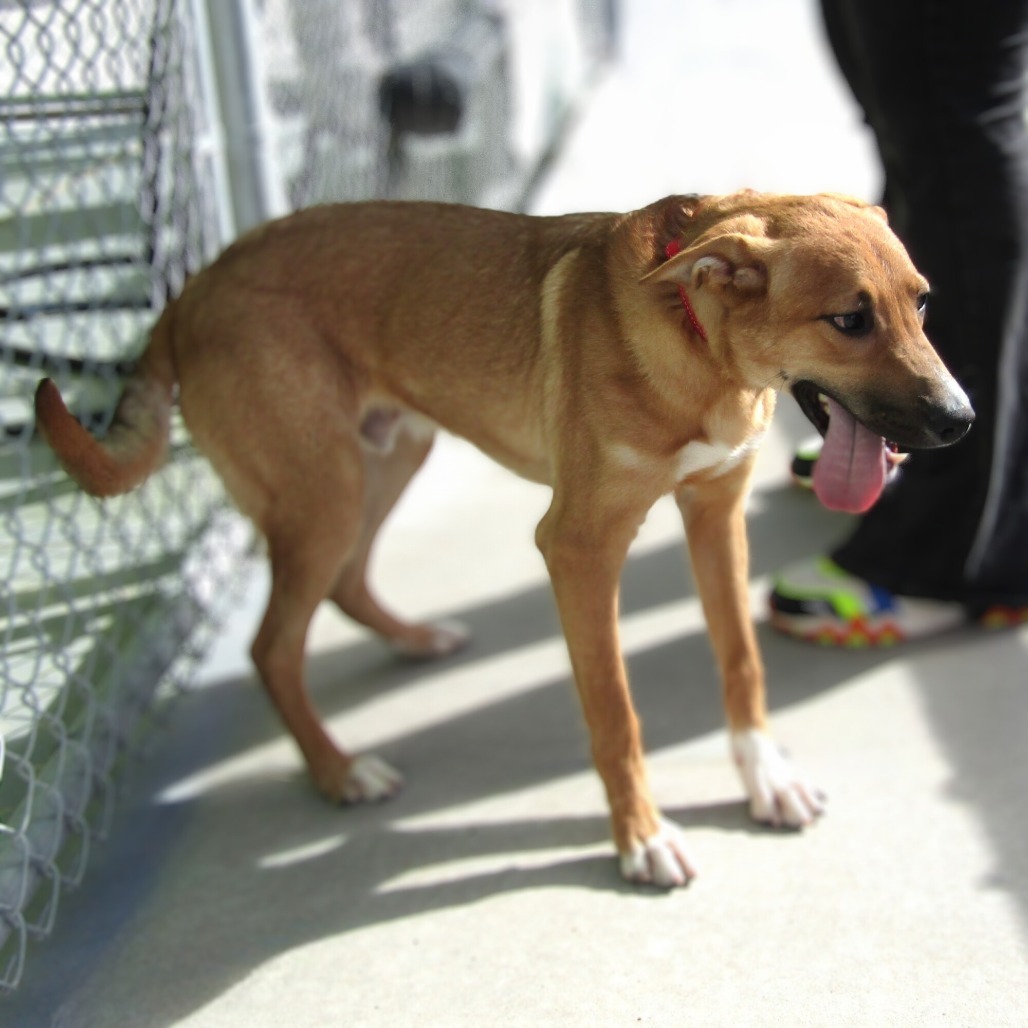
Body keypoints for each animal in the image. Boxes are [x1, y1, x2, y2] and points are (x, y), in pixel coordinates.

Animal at [38, 191, 970, 884]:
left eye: (922, 304)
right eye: (848, 320)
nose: (961, 421)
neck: (700, 341)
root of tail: (191, 290)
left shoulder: (716, 511)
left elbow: (740, 661)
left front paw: (765, 779)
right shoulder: (579, 548)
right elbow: (615, 712)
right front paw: (640, 837)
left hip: (386, 457)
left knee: (344, 584)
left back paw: (415, 643)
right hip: (324, 492)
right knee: (273, 646)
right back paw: (340, 772)